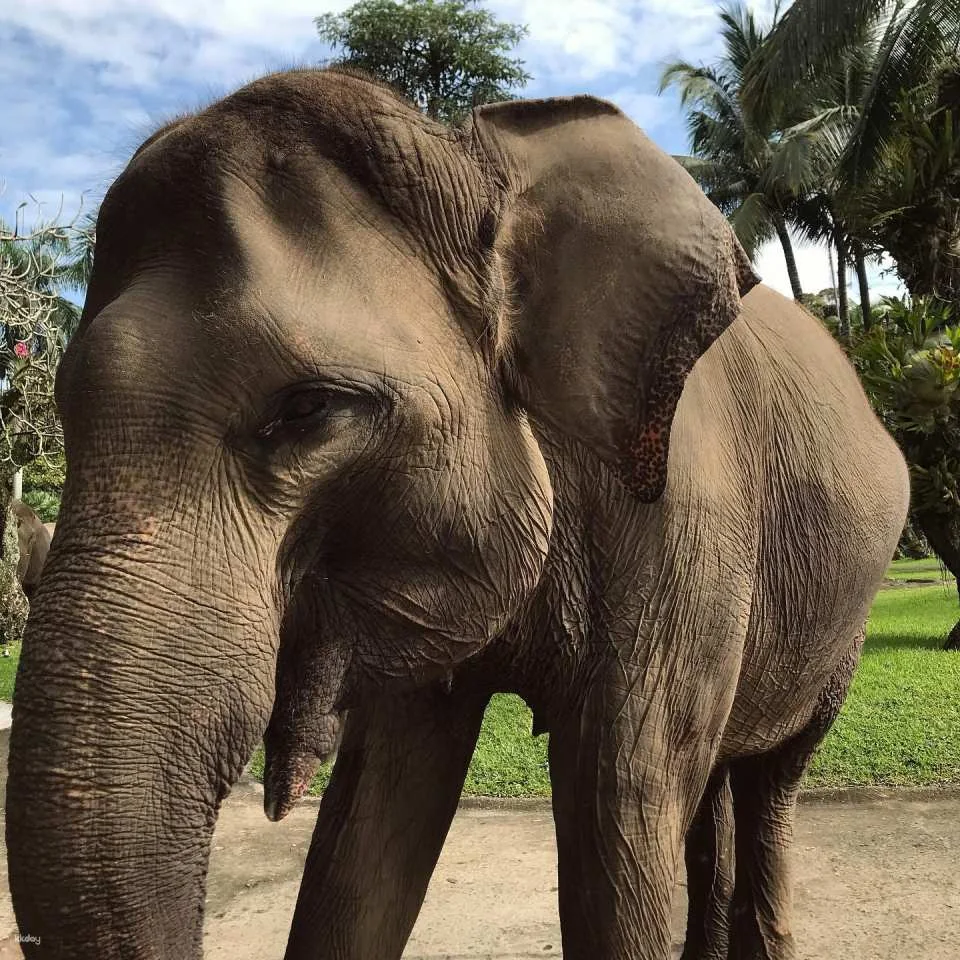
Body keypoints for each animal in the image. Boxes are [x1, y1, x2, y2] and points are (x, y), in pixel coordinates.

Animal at [5, 68, 910, 960]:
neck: (478, 165)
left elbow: (621, 810)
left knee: (769, 780)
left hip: (843, 620)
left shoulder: (685, 520)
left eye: (307, 409)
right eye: (61, 407)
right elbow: (370, 824)